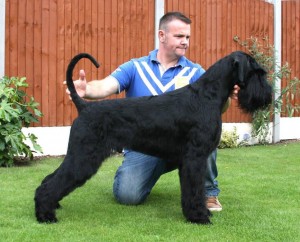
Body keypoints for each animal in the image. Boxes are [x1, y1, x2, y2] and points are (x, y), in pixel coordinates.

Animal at [34, 51, 272, 225]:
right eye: (257, 72)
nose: (268, 95)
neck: (208, 95)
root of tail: (84, 107)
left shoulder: (196, 157)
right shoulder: (194, 158)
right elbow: (194, 190)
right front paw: (199, 216)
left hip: (80, 155)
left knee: (50, 178)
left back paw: (51, 207)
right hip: (84, 156)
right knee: (53, 182)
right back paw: (45, 215)